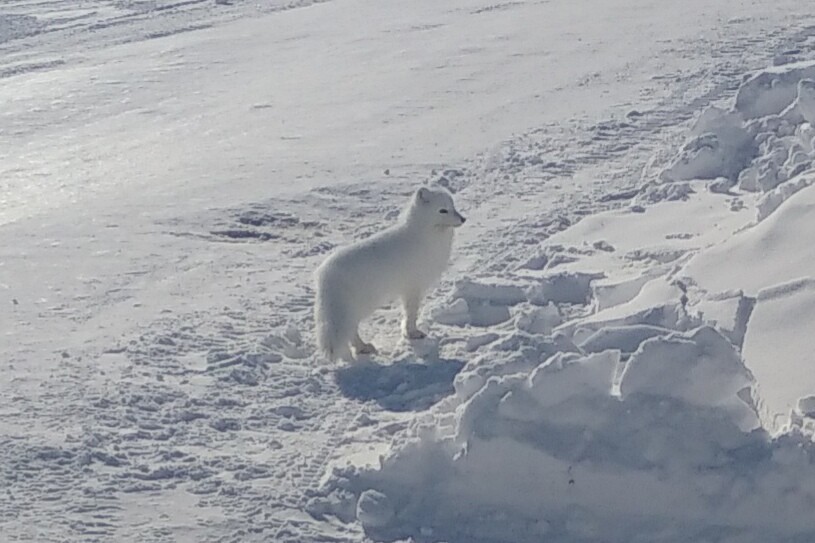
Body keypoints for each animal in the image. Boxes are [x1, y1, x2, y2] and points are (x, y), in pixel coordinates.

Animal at [314, 187, 466, 362]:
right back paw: (359, 350)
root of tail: (325, 275)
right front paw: (412, 333)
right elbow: (411, 313)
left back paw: (361, 348)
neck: (423, 236)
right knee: (350, 329)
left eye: (453, 207)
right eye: (442, 210)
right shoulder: (412, 287)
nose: (463, 219)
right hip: (357, 307)